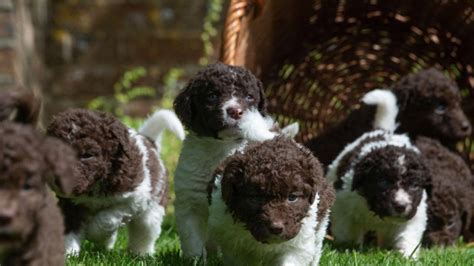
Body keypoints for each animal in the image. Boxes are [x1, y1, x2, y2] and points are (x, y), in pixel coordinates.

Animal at [45, 108, 183, 256]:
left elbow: (106, 219)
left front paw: (93, 234)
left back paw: (141, 254)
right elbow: (70, 229)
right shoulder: (70, 205)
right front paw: (68, 253)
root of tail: (150, 141)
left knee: (145, 232)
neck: (94, 186)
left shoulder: (133, 200)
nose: (58, 179)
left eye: (87, 155)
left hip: (153, 209)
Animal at [172, 62, 298, 258]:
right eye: (212, 96)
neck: (222, 148)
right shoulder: (189, 202)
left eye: (249, 97)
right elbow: (192, 240)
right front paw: (195, 259)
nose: (236, 111)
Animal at [328, 90, 432, 258]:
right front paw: (347, 248)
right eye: (383, 182)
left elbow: (408, 235)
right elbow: (347, 231)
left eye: (414, 186)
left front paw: (407, 256)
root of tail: (383, 131)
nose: (400, 206)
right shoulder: (344, 203)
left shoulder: (414, 213)